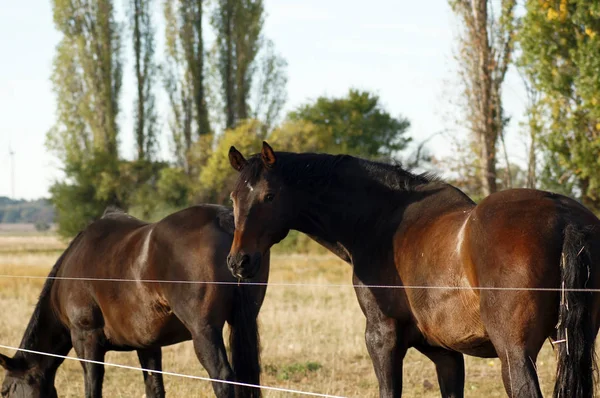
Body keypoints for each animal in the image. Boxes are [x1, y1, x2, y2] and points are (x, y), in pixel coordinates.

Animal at [0, 205, 268, 398]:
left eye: (4, 391)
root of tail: (225, 220)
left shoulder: (86, 340)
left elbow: (93, 388)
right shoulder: (147, 345)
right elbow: (154, 388)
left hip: (204, 332)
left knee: (222, 379)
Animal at [225, 143, 600, 398]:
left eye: (270, 196)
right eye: (233, 197)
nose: (239, 261)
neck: (382, 220)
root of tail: (565, 218)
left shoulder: (381, 339)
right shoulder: (446, 354)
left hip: (515, 356)